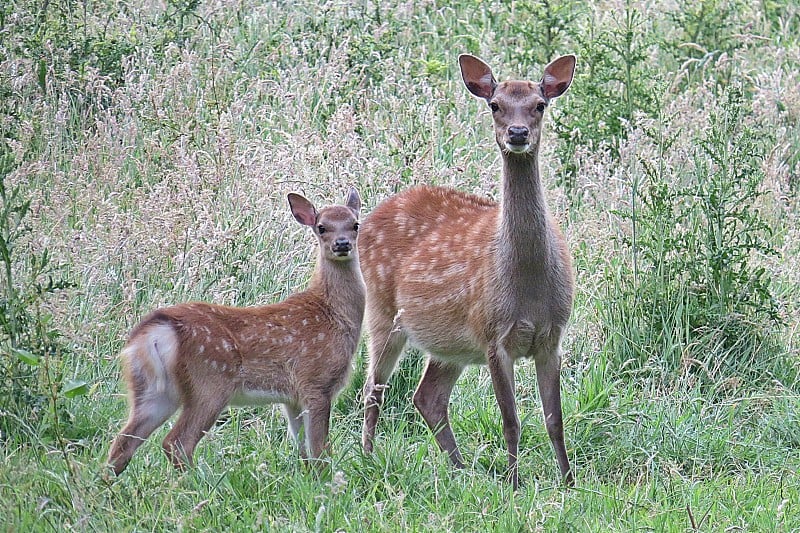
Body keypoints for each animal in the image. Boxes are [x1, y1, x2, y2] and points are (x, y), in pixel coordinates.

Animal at [108, 188, 364, 474]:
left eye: (355, 224)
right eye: (322, 227)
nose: (342, 244)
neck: (334, 314)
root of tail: (156, 331)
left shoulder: (292, 398)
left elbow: (303, 448)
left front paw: (308, 475)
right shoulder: (316, 382)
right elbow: (320, 449)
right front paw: (326, 479)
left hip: (151, 388)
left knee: (122, 444)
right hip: (209, 382)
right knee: (177, 442)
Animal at [360, 54, 576, 486]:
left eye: (539, 105)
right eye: (495, 104)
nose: (517, 133)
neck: (528, 285)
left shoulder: (552, 337)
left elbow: (555, 419)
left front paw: (569, 481)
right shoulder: (493, 335)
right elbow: (511, 421)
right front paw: (514, 483)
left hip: (448, 343)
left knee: (427, 396)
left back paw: (461, 470)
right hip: (381, 312)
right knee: (373, 387)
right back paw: (368, 457)